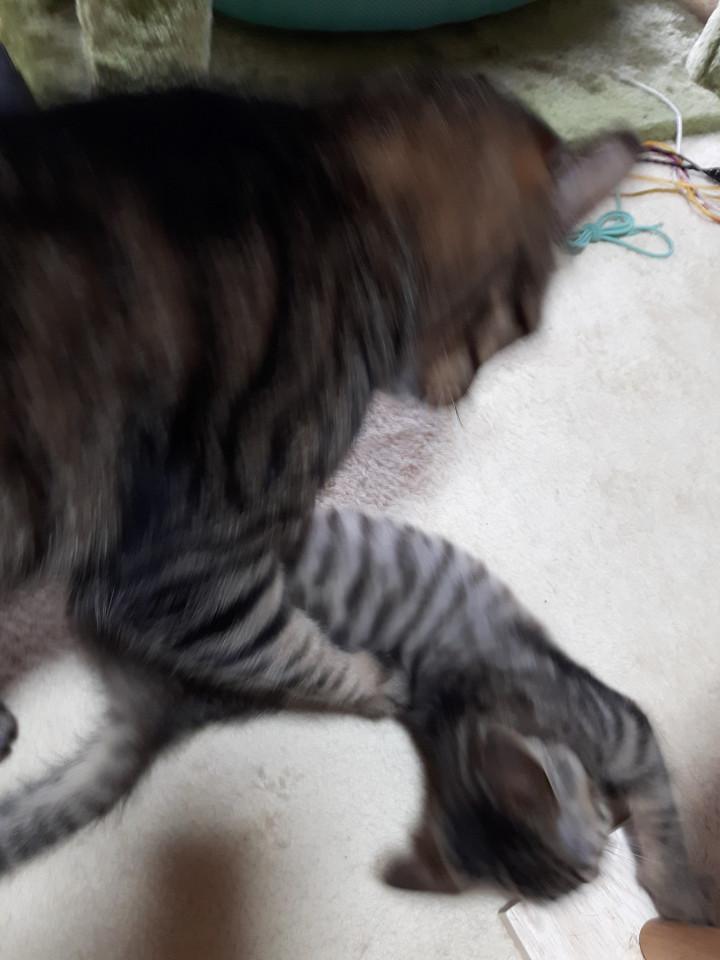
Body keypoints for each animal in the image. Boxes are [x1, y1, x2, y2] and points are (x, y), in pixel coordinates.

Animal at [0, 508, 710, 925]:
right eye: (580, 878)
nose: (594, 873)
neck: (452, 720)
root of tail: (169, 706)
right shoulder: (625, 727)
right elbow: (663, 819)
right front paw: (682, 899)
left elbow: (653, 814)